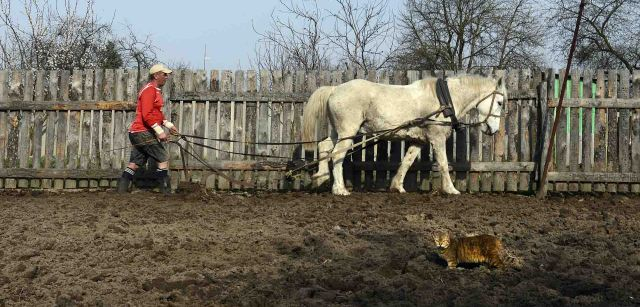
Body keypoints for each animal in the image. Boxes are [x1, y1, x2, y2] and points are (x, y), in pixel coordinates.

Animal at [302, 74, 508, 195]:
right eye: (499, 102)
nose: (493, 130)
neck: (444, 100)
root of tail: (334, 89)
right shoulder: (437, 137)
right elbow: (443, 163)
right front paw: (451, 189)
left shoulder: (419, 140)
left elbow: (407, 162)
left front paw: (397, 186)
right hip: (348, 131)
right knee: (337, 154)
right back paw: (340, 189)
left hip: (339, 132)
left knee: (324, 146)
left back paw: (321, 177)